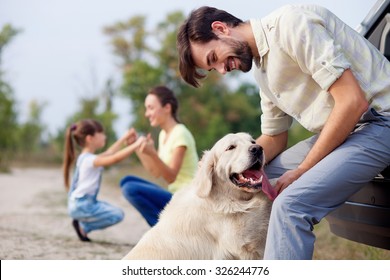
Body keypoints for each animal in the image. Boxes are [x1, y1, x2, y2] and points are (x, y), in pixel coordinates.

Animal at [123, 132, 276, 260]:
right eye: (231, 147)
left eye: (252, 141)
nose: (257, 148)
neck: (222, 196)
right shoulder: (238, 239)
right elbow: (263, 201)